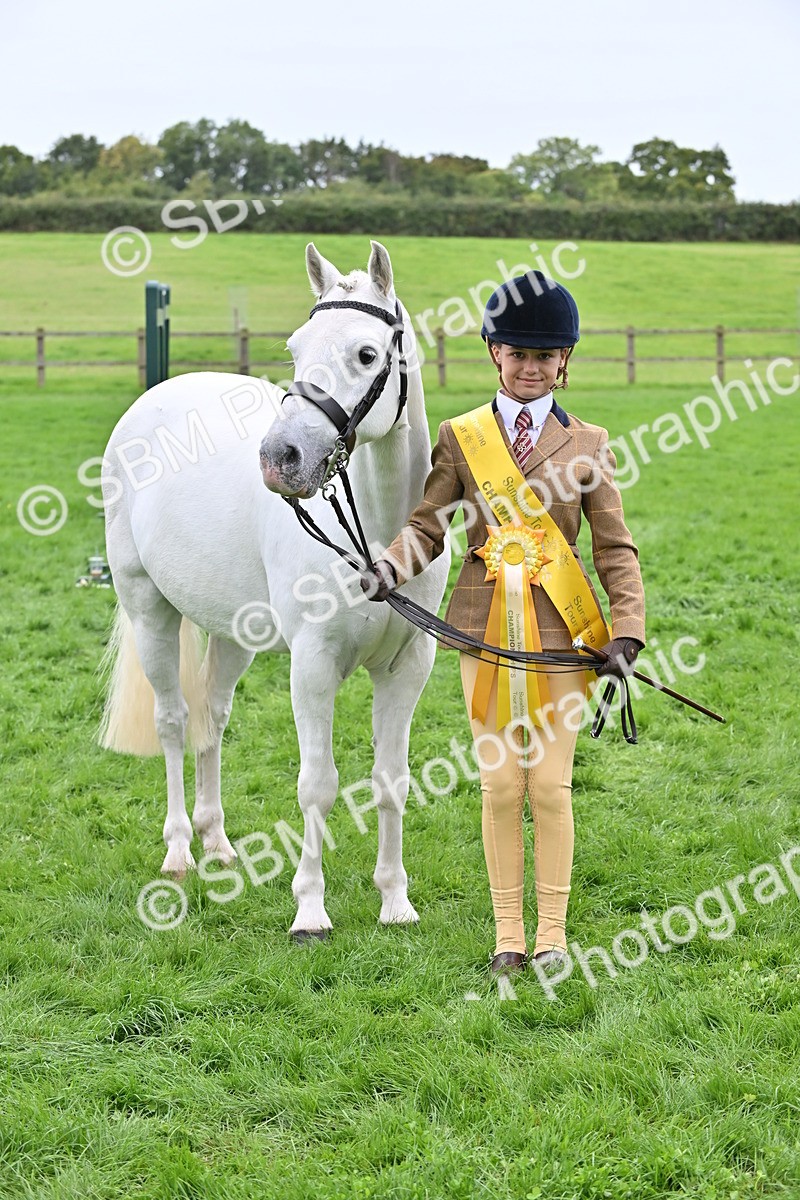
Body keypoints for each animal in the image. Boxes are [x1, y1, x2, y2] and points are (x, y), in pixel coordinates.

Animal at [99, 241, 451, 939]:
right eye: (294, 349)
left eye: (366, 354)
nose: (280, 457)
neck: (377, 534)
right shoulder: (313, 665)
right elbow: (317, 784)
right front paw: (310, 910)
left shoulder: (407, 666)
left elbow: (392, 780)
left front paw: (395, 901)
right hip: (149, 610)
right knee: (174, 720)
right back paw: (179, 849)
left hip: (232, 633)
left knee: (211, 717)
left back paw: (216, 842)